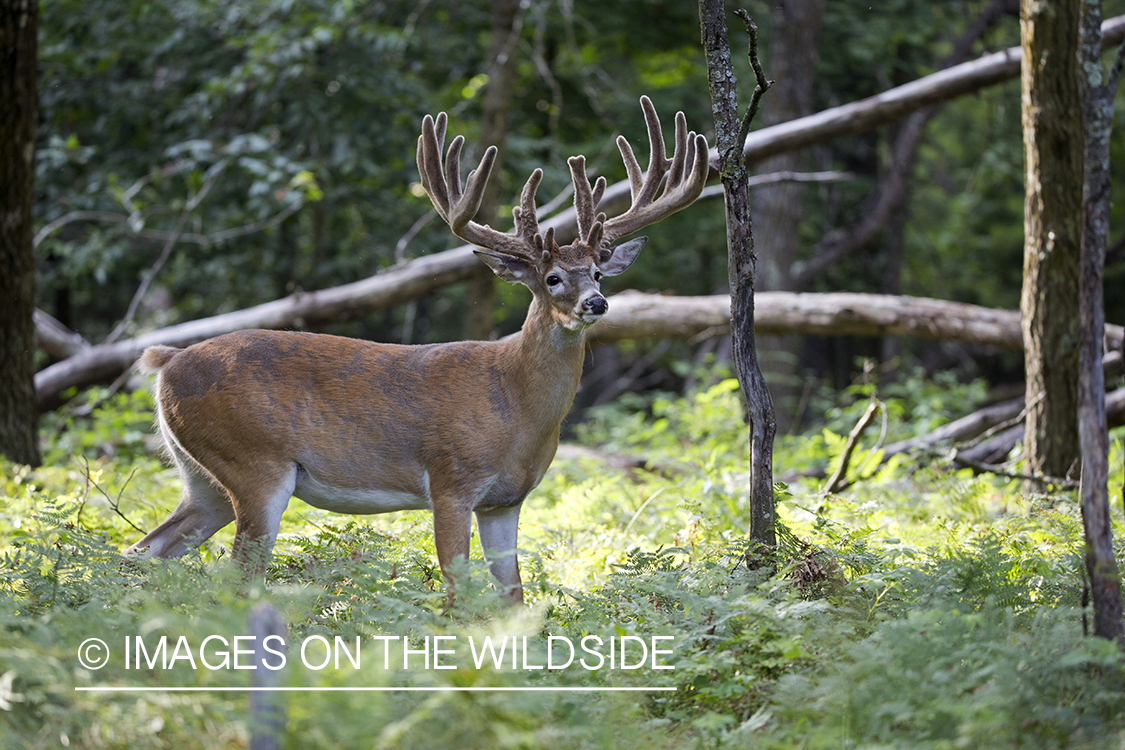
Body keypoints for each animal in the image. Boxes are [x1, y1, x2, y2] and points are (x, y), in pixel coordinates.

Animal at [123, 96, 702, 602]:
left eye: (599, 272)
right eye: (553, 278)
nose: (597, 302)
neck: (513, 401)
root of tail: (167, 362)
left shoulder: (506, 501)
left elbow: (513, 593)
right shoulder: (450, 479)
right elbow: (457, 589)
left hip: (203, 480)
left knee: (143, 551)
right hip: (254, 462)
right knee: (238, 574)